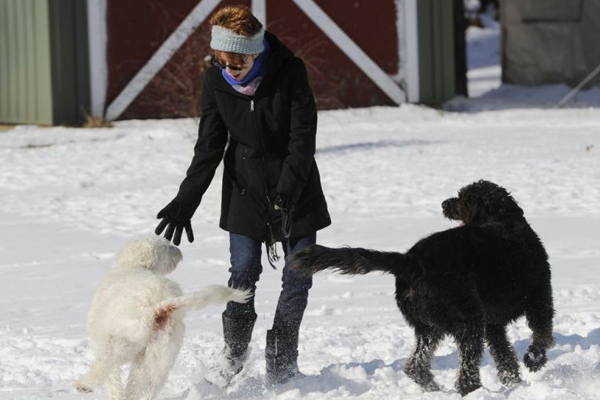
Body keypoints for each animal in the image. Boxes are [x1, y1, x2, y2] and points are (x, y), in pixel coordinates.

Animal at [74, 238, 248, 400]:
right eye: (165, 246)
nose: (179, 252)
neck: (135, 265)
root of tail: (158, 306)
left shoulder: (103, 342)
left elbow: (113, 381)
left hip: (126, 343)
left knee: (106, 365)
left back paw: (84, 384)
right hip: (159, 356)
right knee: (147, 389)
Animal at [288, 181, 556, 396]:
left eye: (465, 199)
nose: (445, 203)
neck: (503, 220)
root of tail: (410, 261)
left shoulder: (493, 324)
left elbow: (504, 355)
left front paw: (514, 380)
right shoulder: (540, 297)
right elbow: (542, 333)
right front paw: (534, 360)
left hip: (430, 326)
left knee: (416, 366)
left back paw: (434, 388)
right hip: (467, 320)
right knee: (465, 373)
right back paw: (474, 391)